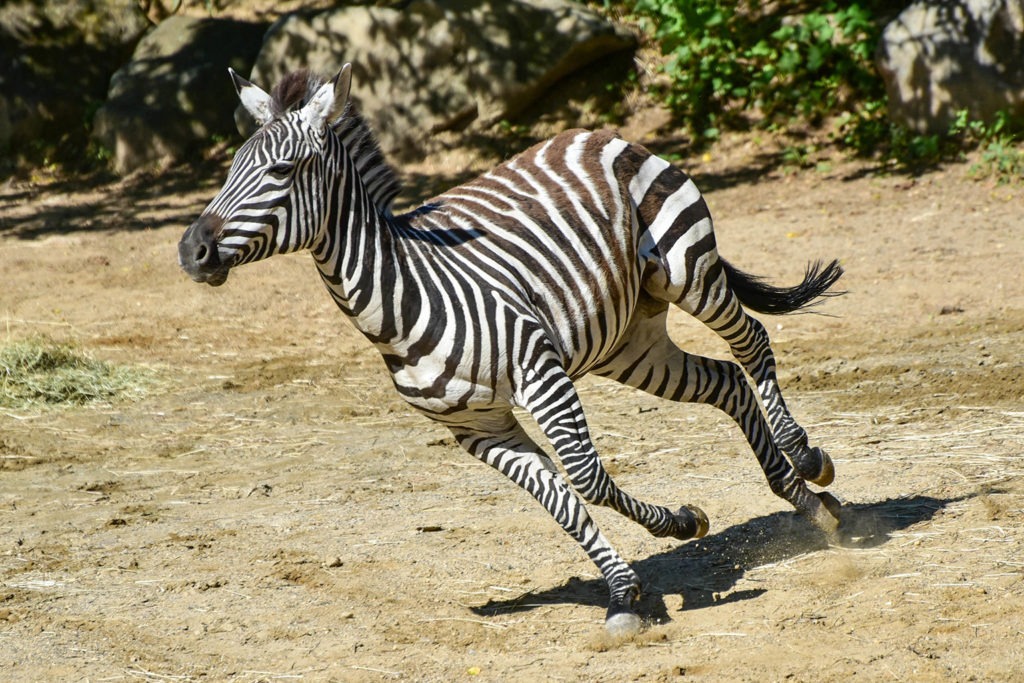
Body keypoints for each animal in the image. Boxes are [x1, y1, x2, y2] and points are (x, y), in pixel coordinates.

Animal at [178, 63, 847, 634]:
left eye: (282, 172)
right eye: (230, 168)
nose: (191, 251)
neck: (403, 299)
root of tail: (588, 132)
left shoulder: (541, 375)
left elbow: (586, 479)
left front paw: (657, 551)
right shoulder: (479, 429)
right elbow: (561, 504)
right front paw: (634, 583)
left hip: (688, 267)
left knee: (751, 342)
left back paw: (807, 459)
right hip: (628, 340)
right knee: (723, 381)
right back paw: (807, 504)